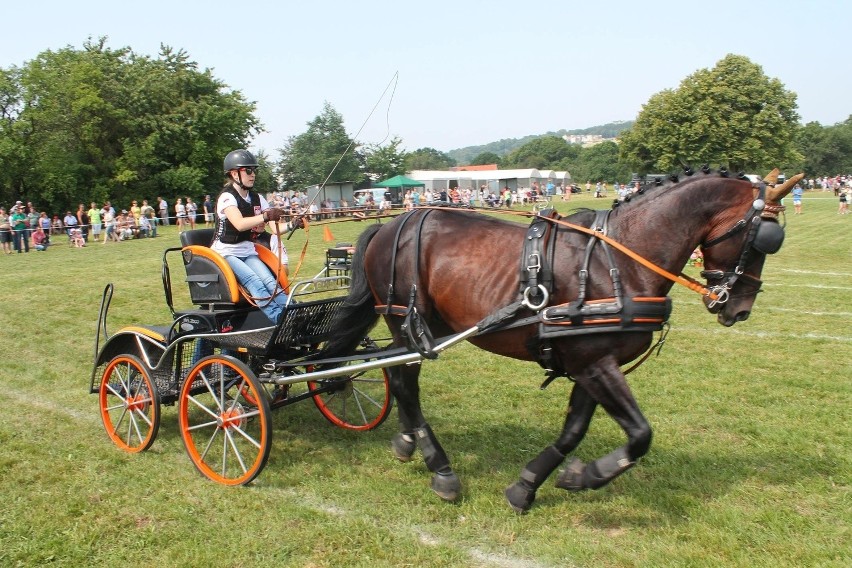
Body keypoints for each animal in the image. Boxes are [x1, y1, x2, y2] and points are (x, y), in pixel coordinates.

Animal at [318, 170, 800, 516]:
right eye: (764, 239)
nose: (740, 309)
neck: (619, 259)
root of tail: (389, 225)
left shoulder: (592, 363)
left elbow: (573, 431)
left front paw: (529, 485)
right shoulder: (594, 363)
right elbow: (640, 434)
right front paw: (588, 476)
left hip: (423, 328)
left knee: (399, 380)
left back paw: (406, 442)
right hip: (405, 321)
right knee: (406, 385)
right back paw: (440, 467)